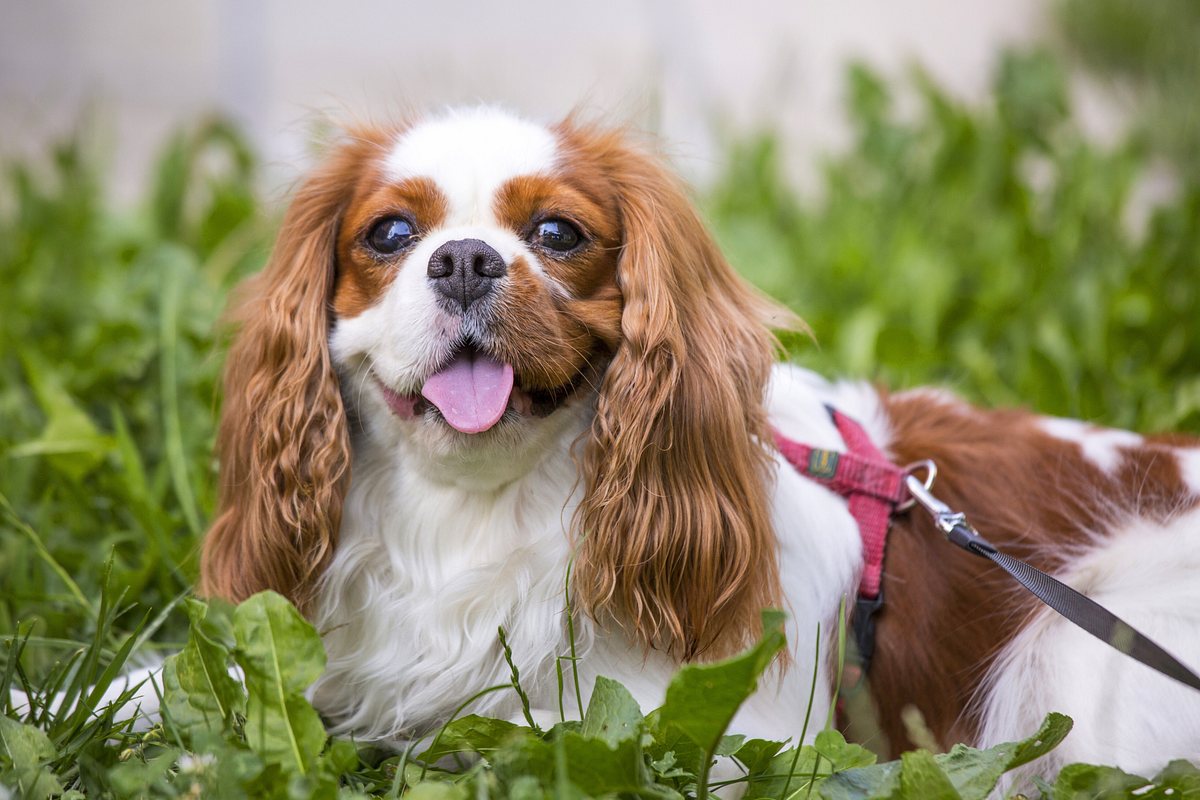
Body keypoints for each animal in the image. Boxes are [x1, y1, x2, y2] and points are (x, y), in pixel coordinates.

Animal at [196, 106, 1200, 777]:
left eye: (557, 232)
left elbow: (491, 737)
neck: (480, 506)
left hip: (1076, 650)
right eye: (391, 233)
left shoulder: (714, 741)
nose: (466, 259)